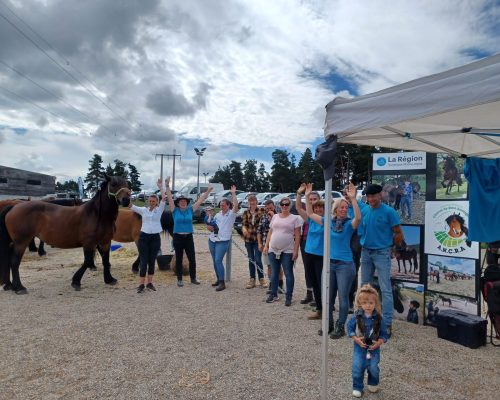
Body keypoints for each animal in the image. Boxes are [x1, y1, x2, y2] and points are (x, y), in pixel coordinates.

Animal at [0, 177, 131, 296]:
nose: (126, 200)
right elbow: (88, 261)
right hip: (21, 243)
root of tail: (14, 207)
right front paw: (76, 282)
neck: (96, 215)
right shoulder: (89, 243)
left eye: (127, 183)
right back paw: (19, 288)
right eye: (113, 184)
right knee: (14, 262)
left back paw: (10, 285)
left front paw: (109, 279)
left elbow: (106, 260)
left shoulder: (105, 241)